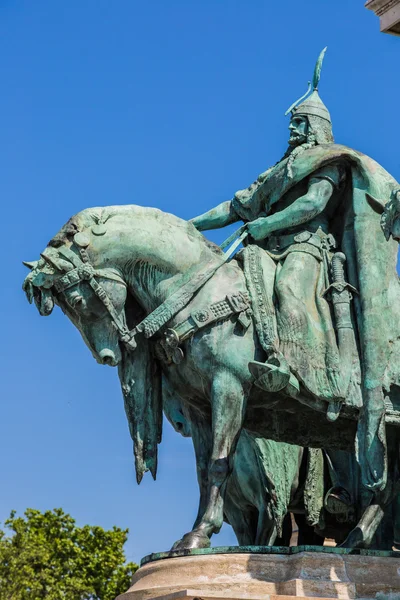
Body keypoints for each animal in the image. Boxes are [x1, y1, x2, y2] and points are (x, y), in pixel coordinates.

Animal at [22, 205, 400, 548]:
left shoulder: (229, 387)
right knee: (386, 483)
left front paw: (201, 532)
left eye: (76, 301)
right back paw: (356, 539)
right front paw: (196, 531)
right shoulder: (197, 405)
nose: (108, 356)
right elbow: (205, 472)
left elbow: (220, 464)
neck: (198, 291)